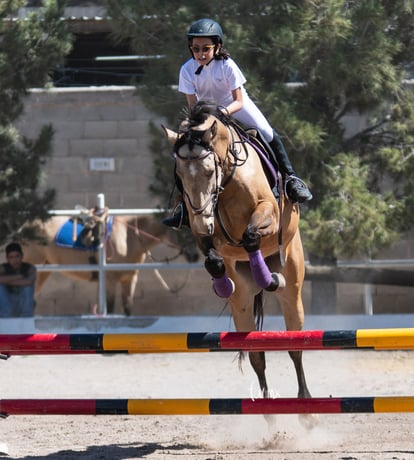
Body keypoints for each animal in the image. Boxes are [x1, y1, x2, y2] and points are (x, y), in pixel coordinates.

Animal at [163, 101, 312, 406]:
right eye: (180, 175)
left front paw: (268, 278)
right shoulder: (203, 231)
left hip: (292, 285)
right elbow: (213, 259)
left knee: (295, 347)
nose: (202, 222)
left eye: (209, 171)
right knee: (257, 356)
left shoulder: (269, 214)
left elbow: (251, 236)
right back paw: (267, 410)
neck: (228, 180)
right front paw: (222, 284)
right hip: (242, 304)